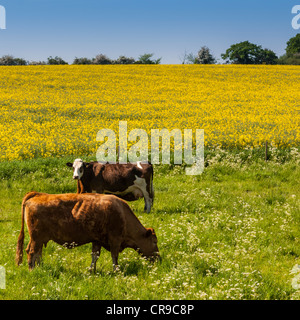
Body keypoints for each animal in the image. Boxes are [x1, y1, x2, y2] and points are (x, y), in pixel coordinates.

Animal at [14, 191, 159, 272]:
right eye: (154, 241)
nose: (159, 258)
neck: (122, 213)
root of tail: (38, 195)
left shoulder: (97, 240)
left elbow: (95, 256)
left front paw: (91, 271)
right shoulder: (115, 240)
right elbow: (114, 256)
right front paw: (116, 271)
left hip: (41, 239)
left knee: (38, 253)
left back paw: (40, 268)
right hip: (36, 238)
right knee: (31, 251)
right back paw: (32, 269)